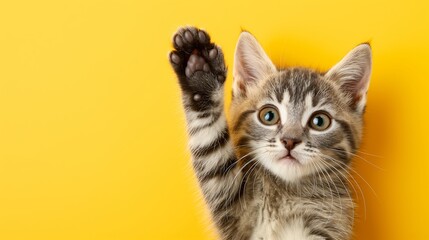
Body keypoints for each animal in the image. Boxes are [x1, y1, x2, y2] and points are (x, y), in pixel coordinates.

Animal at [169, 26, 370, 240]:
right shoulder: (233, 209)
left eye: (320, 121)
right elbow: (211, 149)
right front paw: (199, 71)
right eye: (269, 115)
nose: (289, 141)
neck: (286, 193)